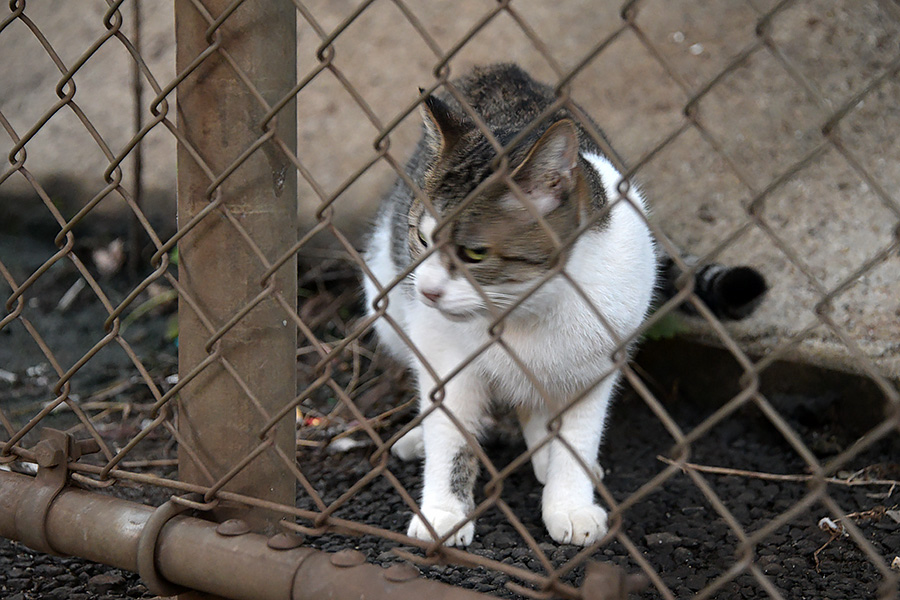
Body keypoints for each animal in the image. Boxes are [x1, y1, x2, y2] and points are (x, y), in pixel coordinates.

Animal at [362, 63, 656, 548]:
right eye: (421, 238)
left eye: (474, 254)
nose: (427, 291)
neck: (526, 311)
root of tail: (500, 69)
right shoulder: (446, 359)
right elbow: (452, 435)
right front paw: (443, 512)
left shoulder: (599, 365)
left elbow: (578, 437)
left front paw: (570, 502)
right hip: (384, 303)